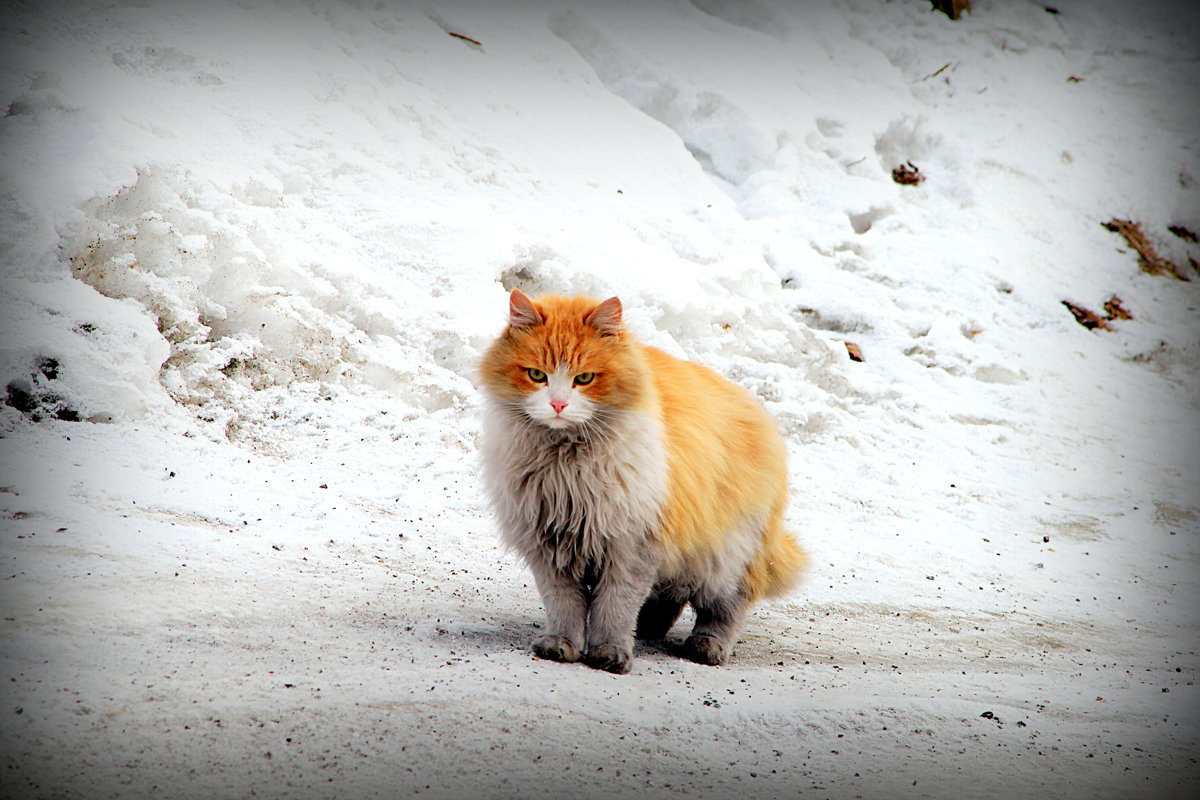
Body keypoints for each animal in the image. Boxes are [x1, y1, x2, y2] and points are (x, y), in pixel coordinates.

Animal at [477, 291, 806, 671]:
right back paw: (649, 628)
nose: (558, 404)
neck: (567, 465)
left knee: (726, 607)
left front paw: (610, 653)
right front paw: (562, 645)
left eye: (584, 378)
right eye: (536, 375)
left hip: (727, 554)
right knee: (672, 594)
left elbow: (614, 608)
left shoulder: (631, 545)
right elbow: (565, 606)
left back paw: (706, 647)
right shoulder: (549, 544)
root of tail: (755, 407)